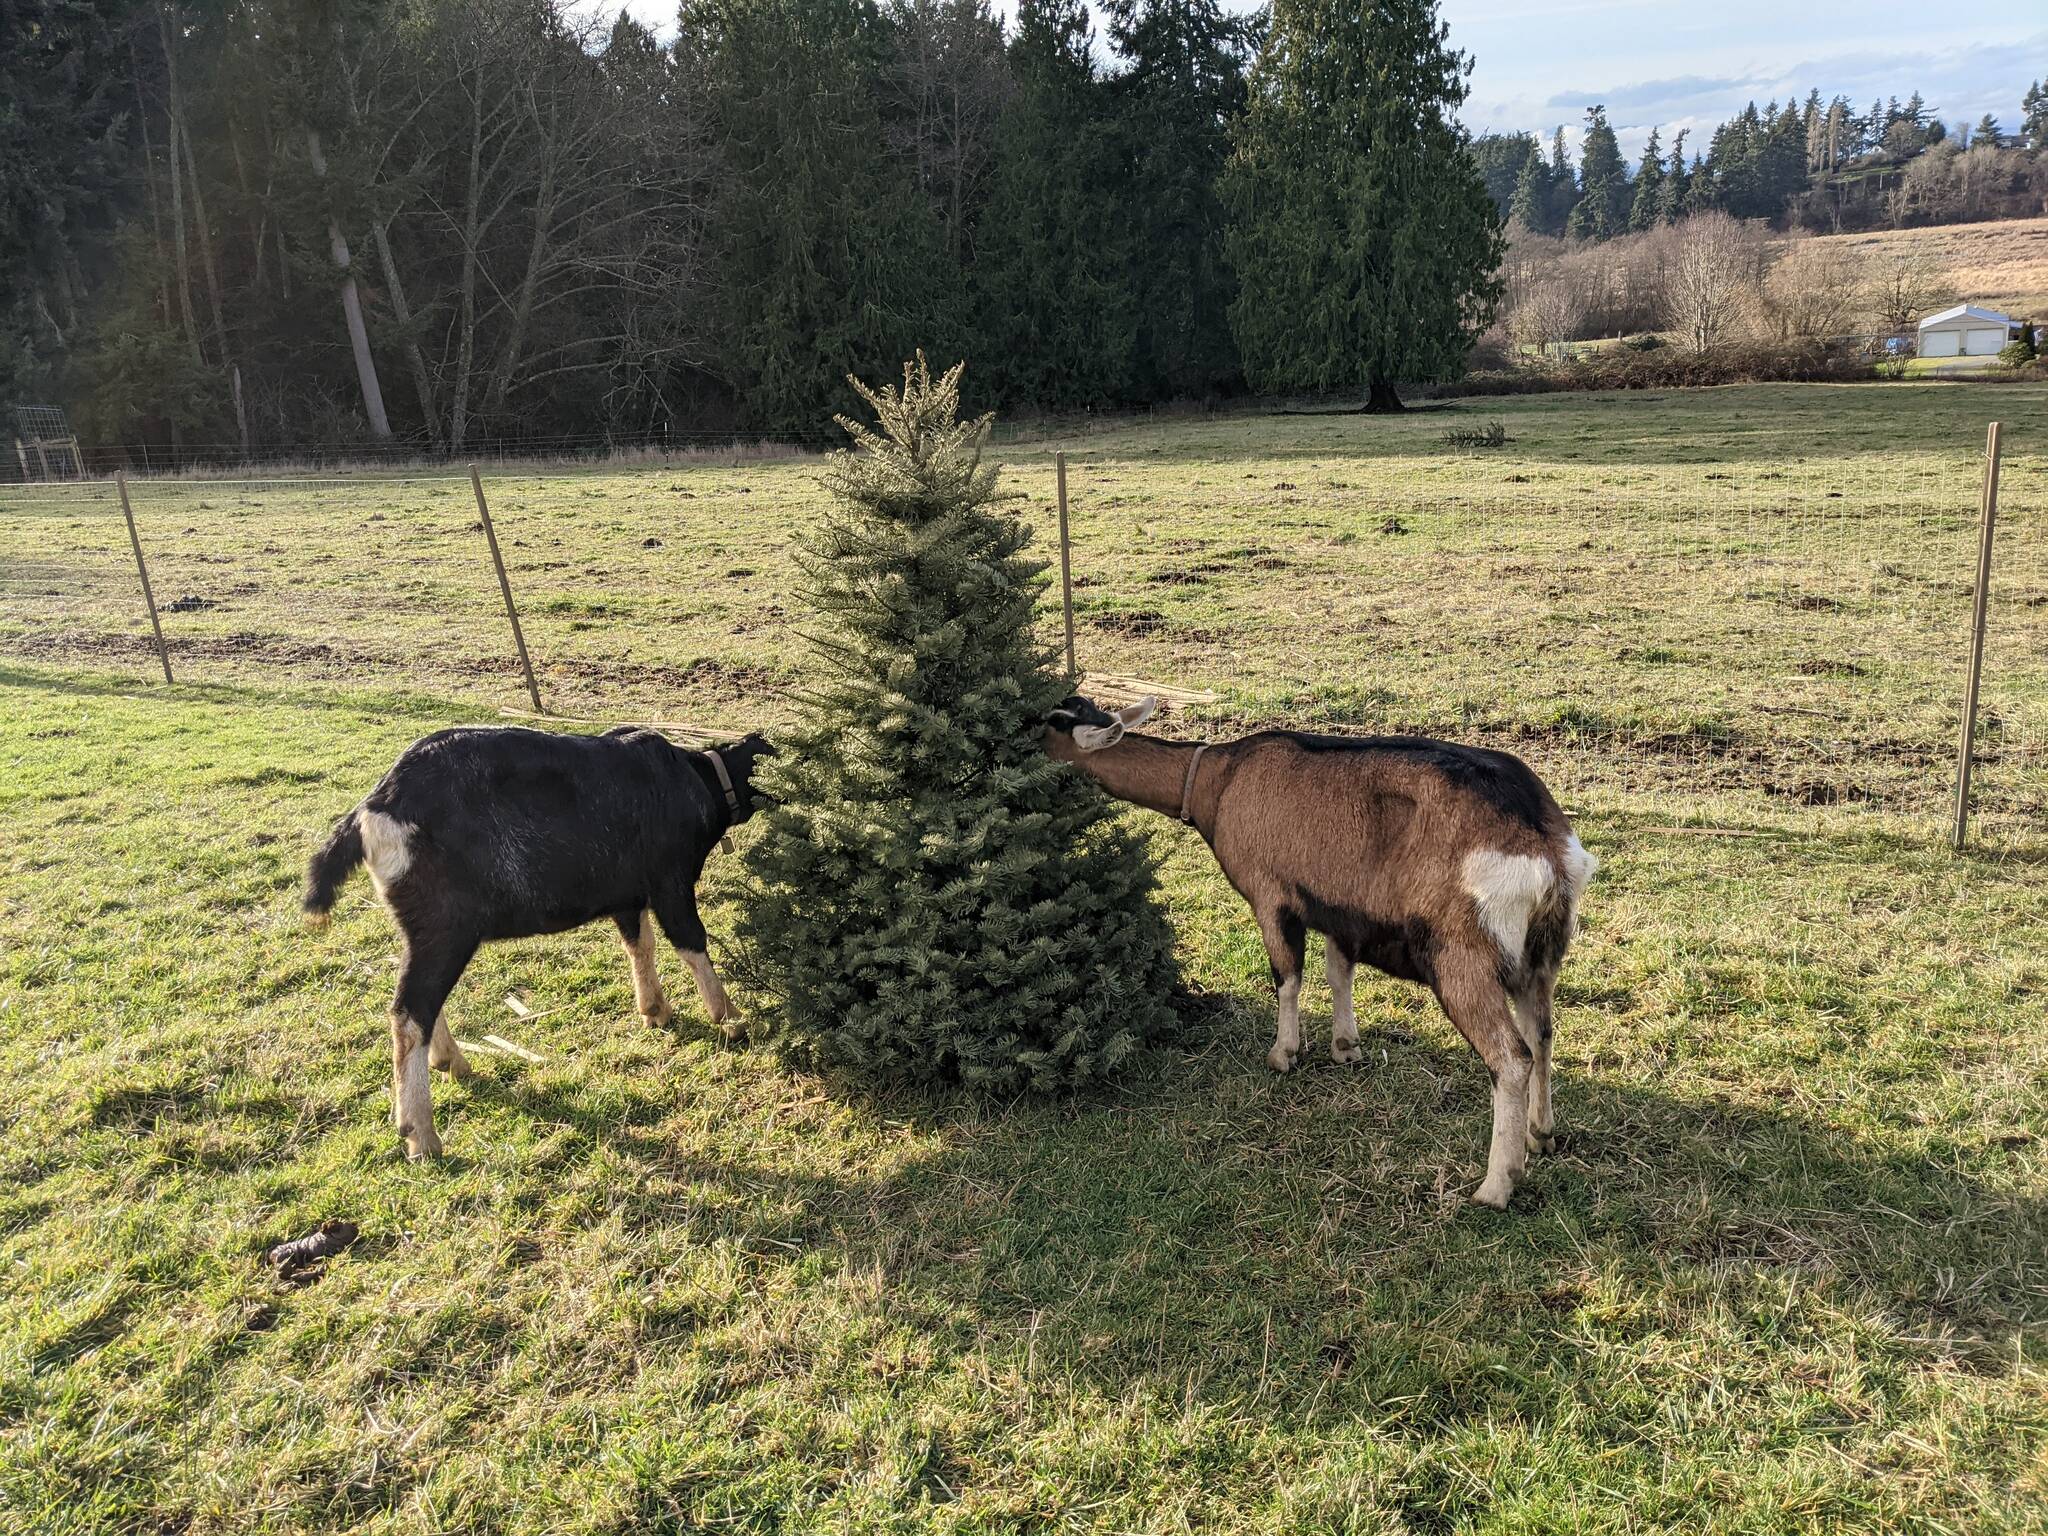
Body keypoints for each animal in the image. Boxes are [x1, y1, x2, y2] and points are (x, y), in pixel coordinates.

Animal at [302, 724, 773, 1159]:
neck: (695, 780)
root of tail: (372, 810)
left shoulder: (628, 895)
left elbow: (640, 943)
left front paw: (655, 1010)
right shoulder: (669, 879)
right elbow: (689, 939)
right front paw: (732, 1018)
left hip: (420, 929)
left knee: (421, 1000)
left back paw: (452, 1062)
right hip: (446, 924)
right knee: (410, 1009)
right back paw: (422, 1134)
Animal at [1045, 696, 1594, 1209]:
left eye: (1048, 727)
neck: (1218, 782)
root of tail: (1548, 849)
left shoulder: (1271, 894)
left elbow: (1286, 976)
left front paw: (1283, 1054)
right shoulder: (1337, 906)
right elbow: (1338, 972)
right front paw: (1345, 1046)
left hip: (1463, 956)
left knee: (1511, 1057)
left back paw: (1496, 1184)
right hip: (1540, 958)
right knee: (1541, 1037)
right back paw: (1541, 1135)